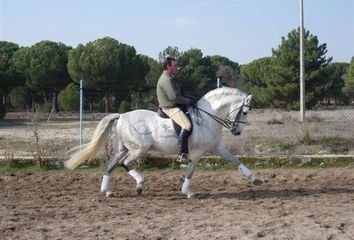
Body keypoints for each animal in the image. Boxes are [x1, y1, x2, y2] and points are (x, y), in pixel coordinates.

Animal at [65, 87, 262, 198]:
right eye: (245, 112)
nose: (237, 132)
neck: (208, 117)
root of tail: (121, 116)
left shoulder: (217, 148)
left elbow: (235, 160)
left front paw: (255, 179)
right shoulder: (197, 153)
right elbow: (190, 171)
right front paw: (187, 192)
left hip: (123, 148)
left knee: (110, 165)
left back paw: (107, 191)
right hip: (138, 148)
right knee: (125, 164)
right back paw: (139, 185)